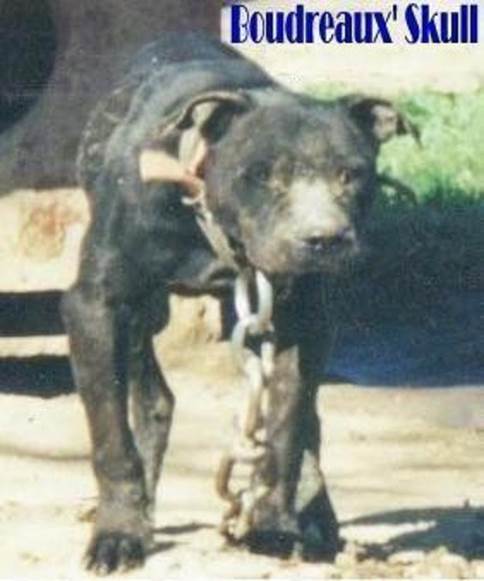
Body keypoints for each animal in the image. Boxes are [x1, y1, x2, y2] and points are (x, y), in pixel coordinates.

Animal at [61, 31, 412, 572]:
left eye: (351, 174)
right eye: (263, 174)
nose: (324, 239)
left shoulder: (303, 322)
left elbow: (287, 428)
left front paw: (273, 525)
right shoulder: (95, 309)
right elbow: (112, 439)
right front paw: (118, 533)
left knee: (308, 421)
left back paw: (316, 516)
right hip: (141, 313)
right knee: (151, 399)